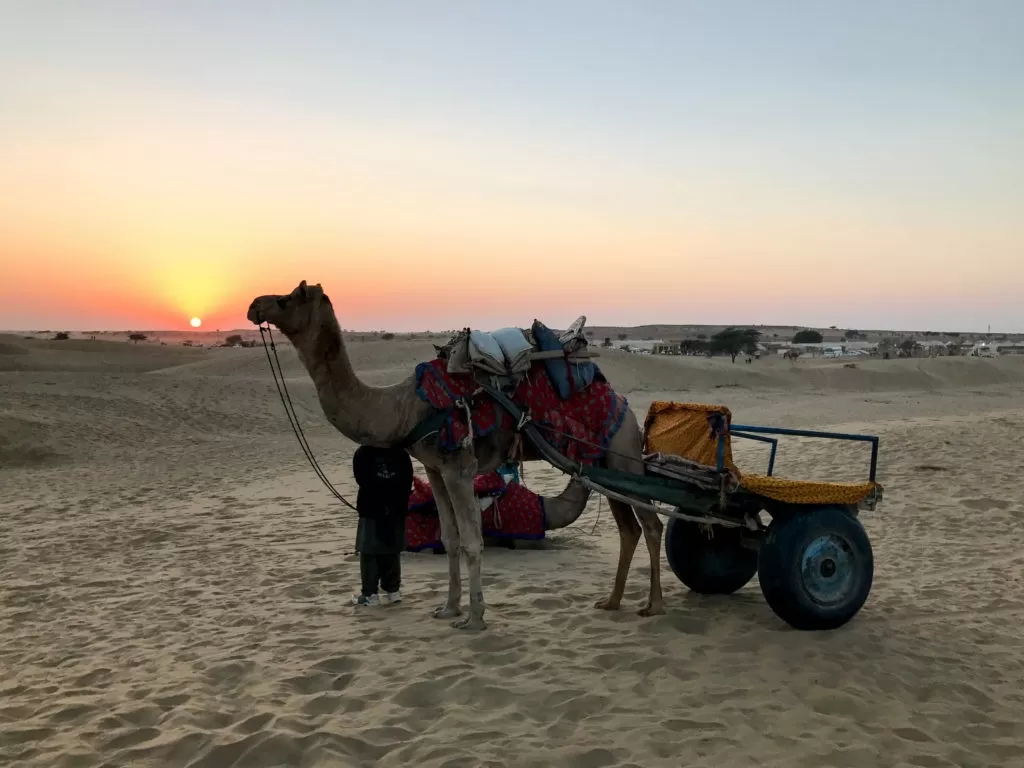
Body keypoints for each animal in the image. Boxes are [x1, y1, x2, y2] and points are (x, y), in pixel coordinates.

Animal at [246, 280, 663, 630]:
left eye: (287, 298)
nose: (253, 305)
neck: (404, 408)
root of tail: (622, 402)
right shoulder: (434, 468)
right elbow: (449, 538)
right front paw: (448, 608)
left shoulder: (461, 467)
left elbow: (473, 541)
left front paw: (475, 618)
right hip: (601, 463)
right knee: (629, 528)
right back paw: (612, 601)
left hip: (622, 449)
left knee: (652, 524)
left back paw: (653, 605)